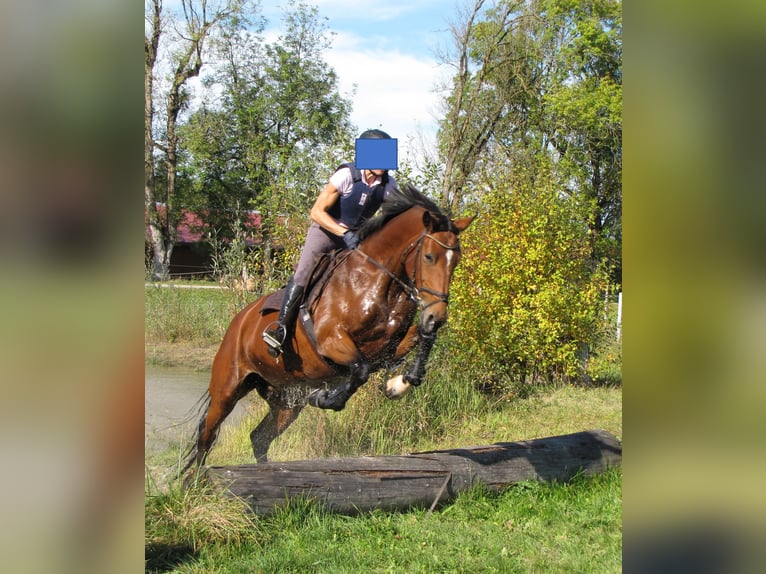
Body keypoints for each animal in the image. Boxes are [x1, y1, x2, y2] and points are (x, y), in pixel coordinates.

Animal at [184, 184, 474, 472]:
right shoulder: (331, 341)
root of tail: (238, 322)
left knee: (259, 437)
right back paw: (195, 481)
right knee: (206, 438)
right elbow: (360, 370)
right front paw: (325, 398)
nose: (437, 315)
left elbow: (421, 338)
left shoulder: (389, 347)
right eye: (429, 256)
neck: (378, 281)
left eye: (456, 261)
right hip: (227, 388)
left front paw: (400, 383)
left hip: (285, 399)